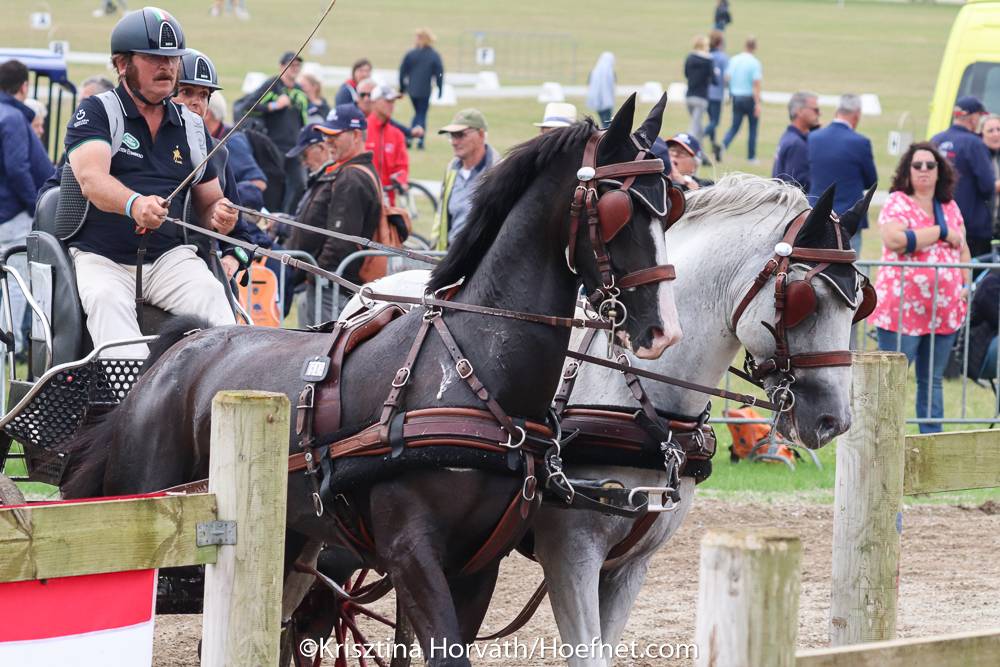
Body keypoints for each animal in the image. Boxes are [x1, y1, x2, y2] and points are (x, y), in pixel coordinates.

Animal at [57, 94, 682, 667]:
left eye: (669, 208)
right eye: (619, 209)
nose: (662, 330)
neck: (473, 368)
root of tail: (176, 350)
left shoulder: (477, 564)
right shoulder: (411, 553)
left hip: (287, 538)